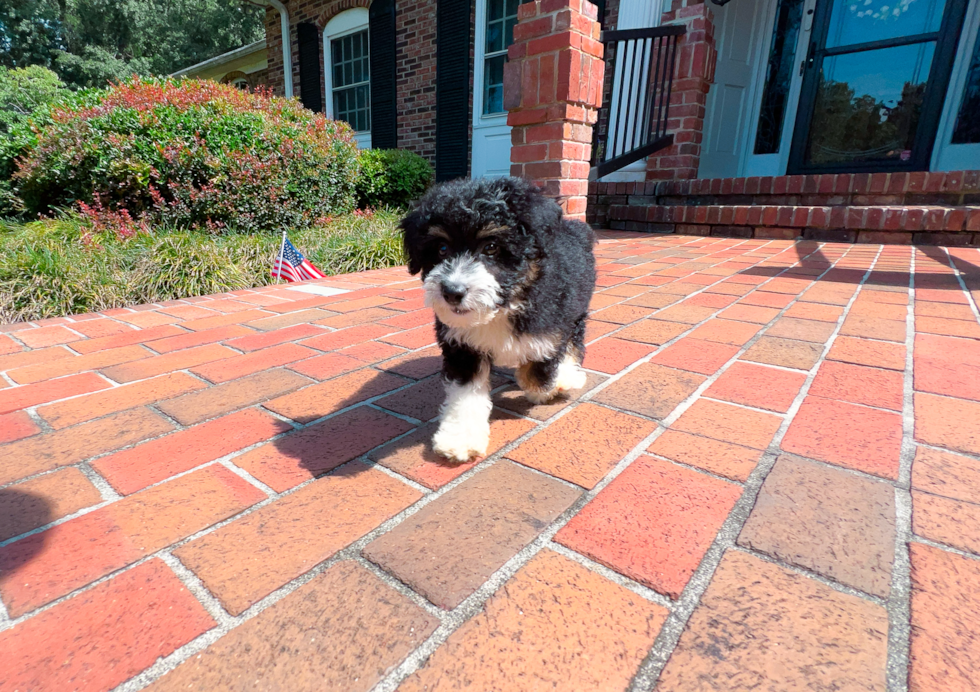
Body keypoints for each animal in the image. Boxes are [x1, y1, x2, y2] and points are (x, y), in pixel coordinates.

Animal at [400, 176, 596, 462]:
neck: (502, 308)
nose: (452, 292)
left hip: (578, 310)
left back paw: (569, 376)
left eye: (491, 247)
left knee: (574, 343)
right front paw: (460, 438)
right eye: (442, 248)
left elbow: (537, 371)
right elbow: (465, 395)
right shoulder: (462, 347)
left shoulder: (551, 329)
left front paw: (550, 387)